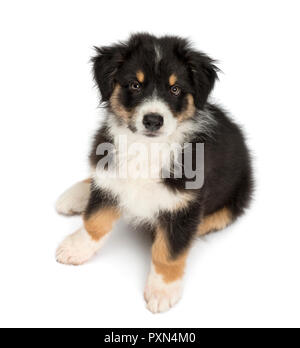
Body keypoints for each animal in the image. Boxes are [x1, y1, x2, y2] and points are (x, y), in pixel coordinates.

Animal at [55, 34, 253, 314]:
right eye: (135, 85)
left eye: (175, 89)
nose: (152, 120)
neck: (146, 147)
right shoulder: (111, 177)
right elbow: (95, 220)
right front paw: (76, 248)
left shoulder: (185, 204)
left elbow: (168, 251)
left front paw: (162, 290)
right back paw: (76, 194)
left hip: (237, 196)